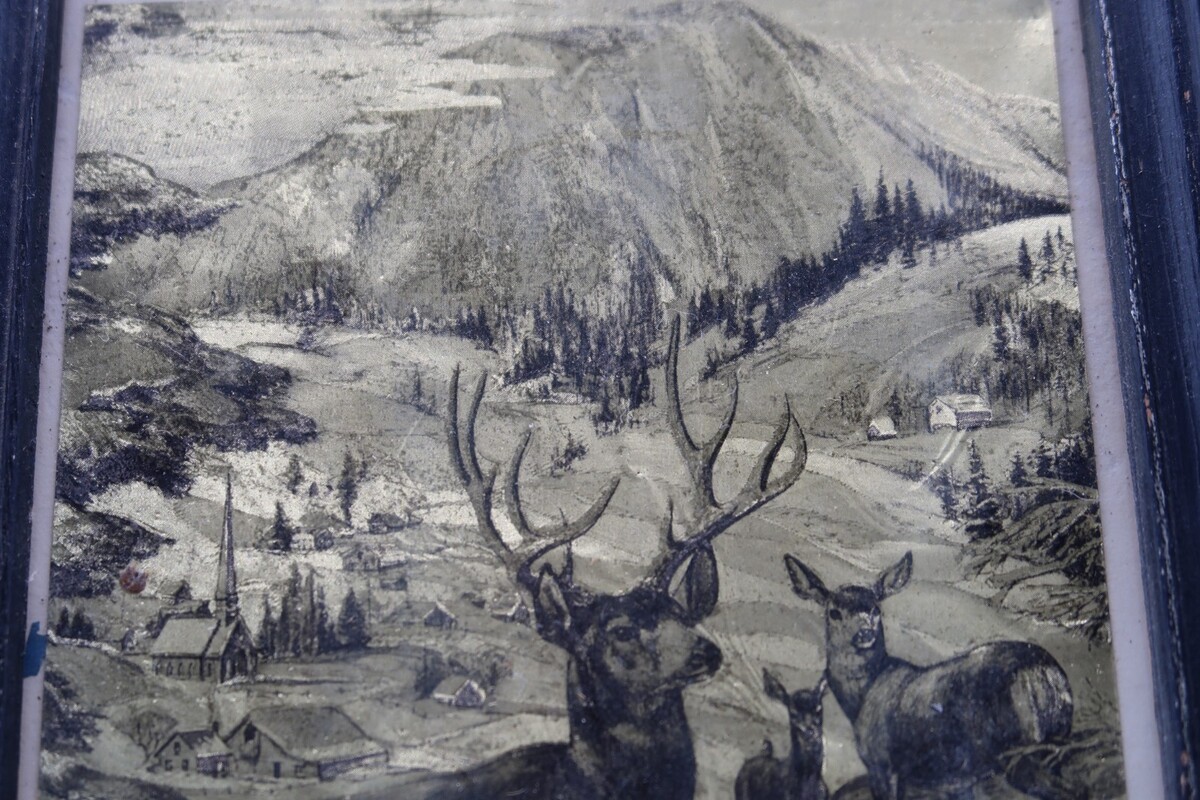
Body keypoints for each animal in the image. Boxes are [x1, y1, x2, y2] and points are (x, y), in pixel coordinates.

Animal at [782, 551, 1074, 800]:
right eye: (834, 612)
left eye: (876, 609)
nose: (864, 633)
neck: (862, 696)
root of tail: (1046, 673)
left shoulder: (882, 762)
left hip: (1022, 749)